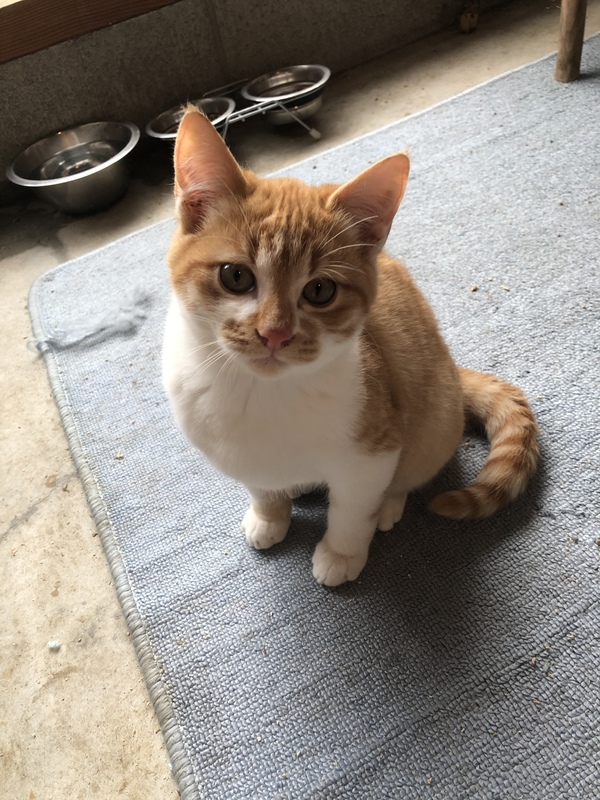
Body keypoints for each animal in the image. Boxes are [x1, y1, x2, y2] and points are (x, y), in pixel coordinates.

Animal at [162, 106, 539, 587]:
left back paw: (390, 505)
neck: (261, 395)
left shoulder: (372, 452)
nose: (275, 334)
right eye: (236, 276)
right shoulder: (244, 457)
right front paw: (268, 516)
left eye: (320, 290)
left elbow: (352, 509)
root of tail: (453, 370)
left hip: (433, 420)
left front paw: (341, 553)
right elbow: (262, 487)